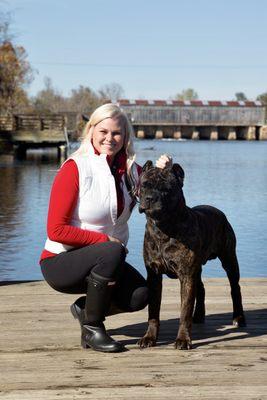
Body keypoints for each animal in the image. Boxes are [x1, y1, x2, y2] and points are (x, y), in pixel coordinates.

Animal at [138, 161, 247, 348]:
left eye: (166, 189)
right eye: (144, 185)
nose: (150, 198)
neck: (163, 229)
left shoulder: (186, 275)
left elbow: (185, 311)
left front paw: (183, 339)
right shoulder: (154, 275)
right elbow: (153, 311)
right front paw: (149, 337)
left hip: (229, 260)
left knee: (235, 288)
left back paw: (238, 318)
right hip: (198, 269)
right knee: (201, 288)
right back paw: (199, 315)